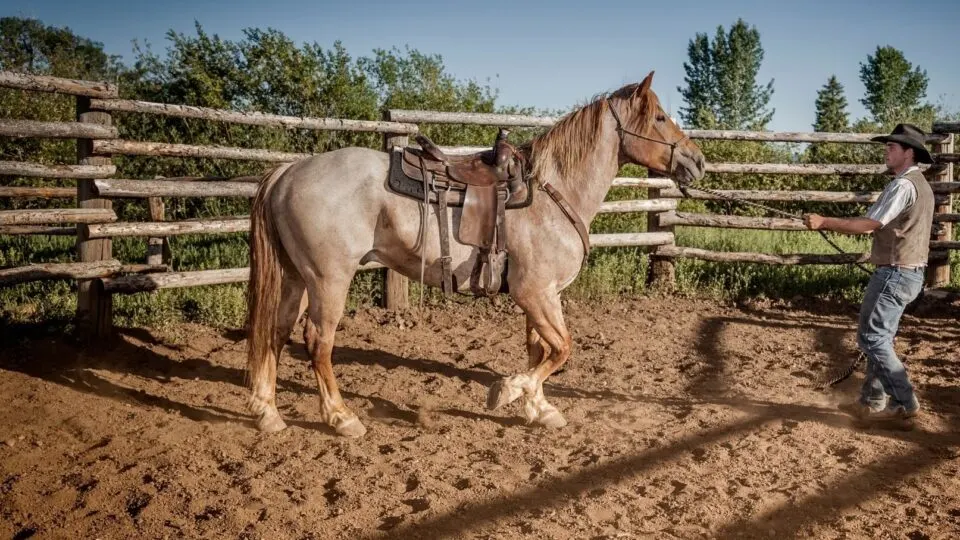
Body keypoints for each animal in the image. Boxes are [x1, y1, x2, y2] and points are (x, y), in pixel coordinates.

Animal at [245, 71, 706, 437]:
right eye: (660, 118)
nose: (697, 161)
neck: (552, 192)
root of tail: (289, 171)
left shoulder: (542, 296)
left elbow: (540, 350)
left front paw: (539, 409)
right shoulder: (535, 293)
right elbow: (562, 349)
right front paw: (508, 391)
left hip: (296, 277)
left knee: (276, 331)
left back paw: (268, 413)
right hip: (329, 280)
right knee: (317, 341)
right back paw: (342, 418)